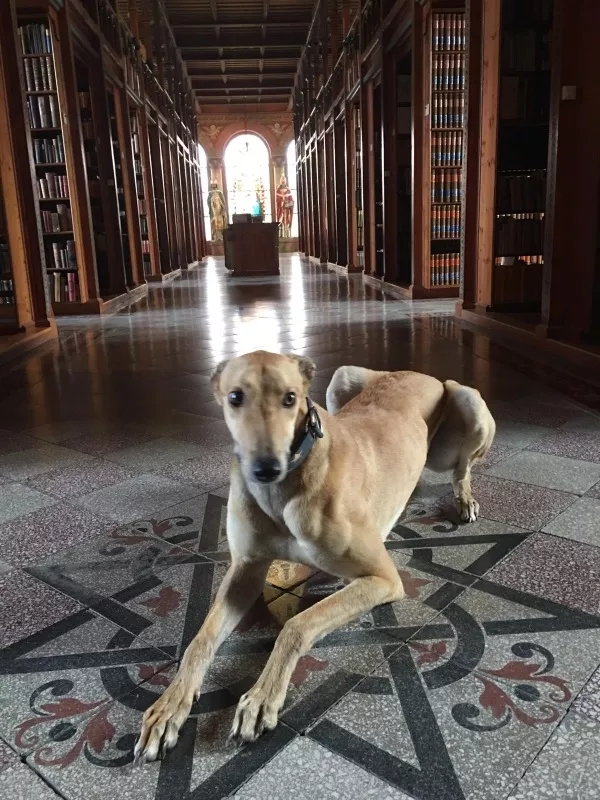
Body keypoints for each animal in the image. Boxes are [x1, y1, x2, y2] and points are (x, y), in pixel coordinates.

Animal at [136, 350, 496, 764]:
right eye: (235, 397)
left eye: (290, 398)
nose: (265, 468)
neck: (282, 494)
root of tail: (418, 372)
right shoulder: (245, 570)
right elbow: (199, 641)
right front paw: (169, 707)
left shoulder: (383, 578)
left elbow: (296, 625)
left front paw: (262, 696)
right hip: (342, 380)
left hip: (467, 403)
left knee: (462, 468)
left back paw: (463, 499)